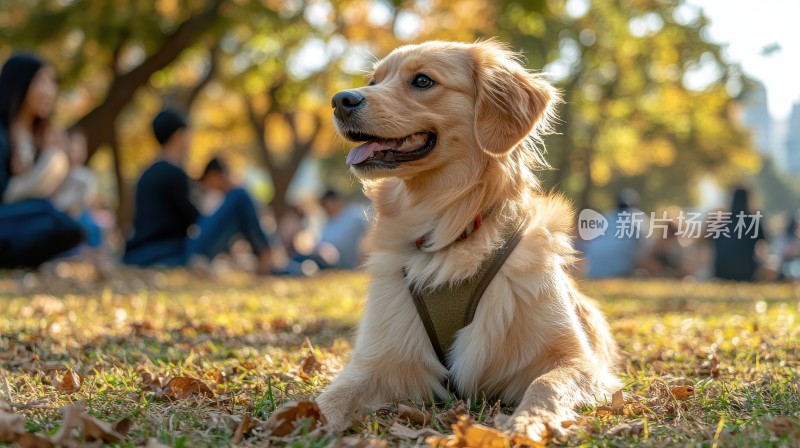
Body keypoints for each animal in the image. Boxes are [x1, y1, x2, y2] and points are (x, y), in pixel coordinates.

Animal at [316, 39, 620, 440]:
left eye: (423, 80)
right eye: (373, 81)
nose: (340, 100)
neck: (449, 232)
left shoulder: (577, 360)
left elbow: (547, 384)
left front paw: (529, 422)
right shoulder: (380, 359)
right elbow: (336, 392)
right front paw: (303, 417)